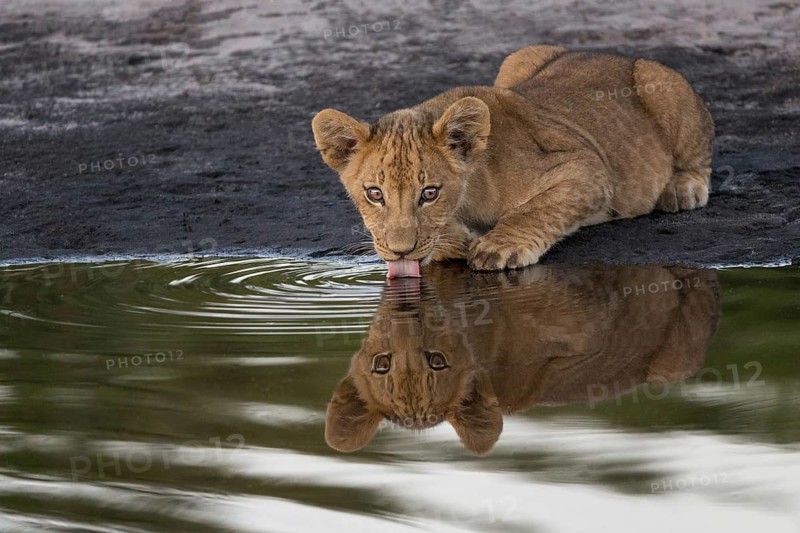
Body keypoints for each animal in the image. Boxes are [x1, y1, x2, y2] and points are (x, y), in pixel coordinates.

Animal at [311, 45, 714, 274]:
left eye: (430, 193)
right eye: (374, 194)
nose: (400, 252)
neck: (469, 193)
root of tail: (612, 54)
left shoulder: (587, 166)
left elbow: (537, 209)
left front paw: (497, 247)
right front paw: (456, 242)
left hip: (661, 82)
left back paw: (682, 189)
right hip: (519, 58)